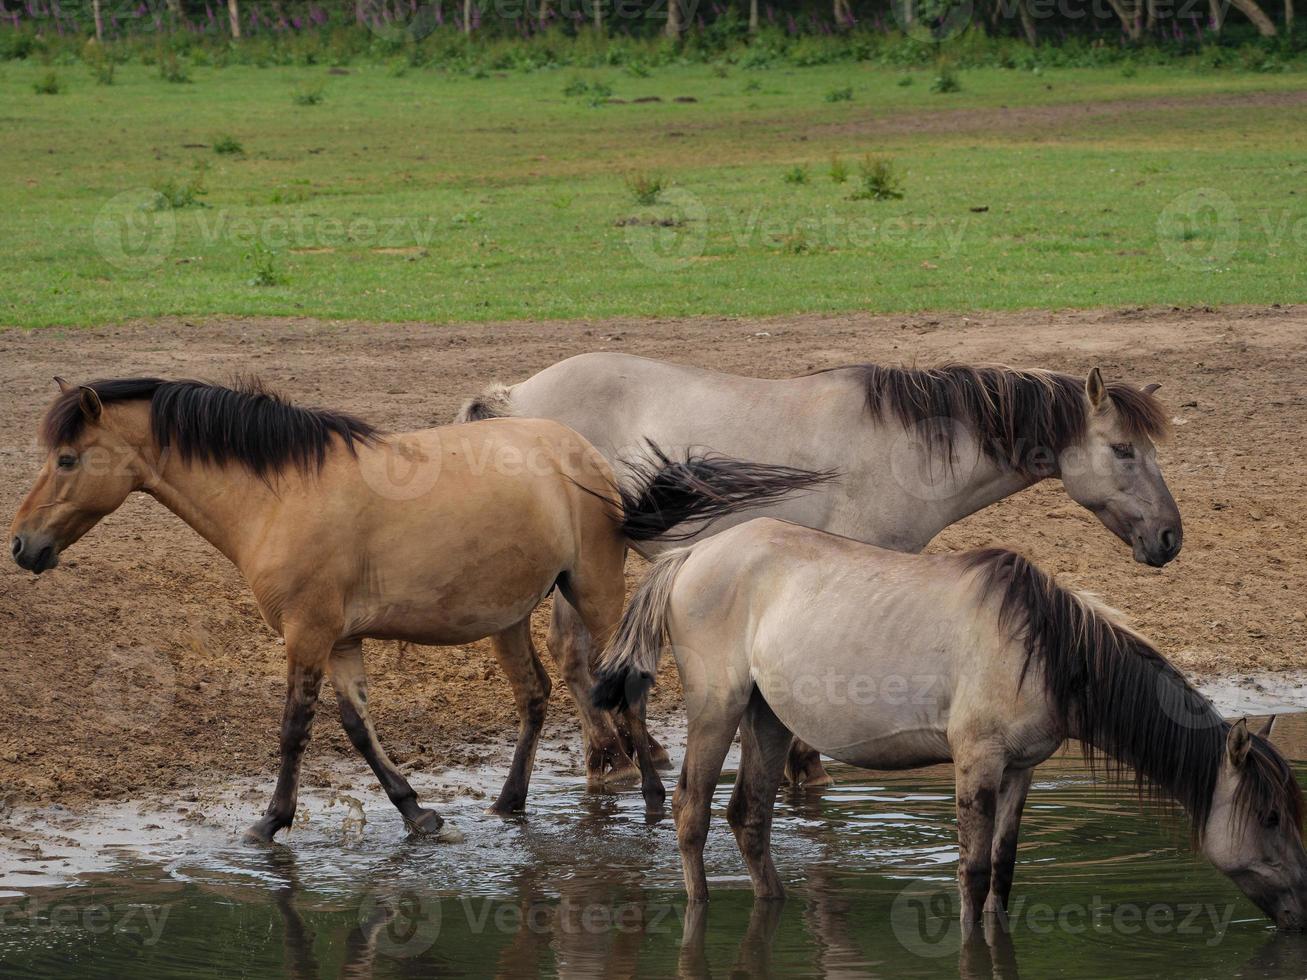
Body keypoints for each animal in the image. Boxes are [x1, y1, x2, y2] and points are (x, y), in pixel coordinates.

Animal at [7, 378, 826, 846]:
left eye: (67, 459)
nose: (21, 545)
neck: (279, 493)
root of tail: (586, 456)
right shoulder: (338, 641)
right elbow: (355, 727)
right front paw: (416, 812)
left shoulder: (307, 634)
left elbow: (295, 728)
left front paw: (270, 822)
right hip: (508, 615)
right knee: (534, 696)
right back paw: (509, 802)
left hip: (593, 593)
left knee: (622, 689)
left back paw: (652, 799)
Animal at [462, 358, 1186, 789]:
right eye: (1122, 450)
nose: (1169, 538)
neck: (904, 449)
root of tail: (516, 395)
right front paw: (806, 765)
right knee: (572, 650)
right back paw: (609, 758)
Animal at [595, 517, 1307, 930]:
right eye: (1271, 817)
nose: (1302, 911)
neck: (1047, 649)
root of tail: (692, 555)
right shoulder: (976, 763)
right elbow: (971, 871)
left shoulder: (1021, 769)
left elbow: (1004, 868)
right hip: (717, 710)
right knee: (692, 813)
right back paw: (699, 910)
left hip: (767, 718)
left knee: (749, 817)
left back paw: (773, 906)